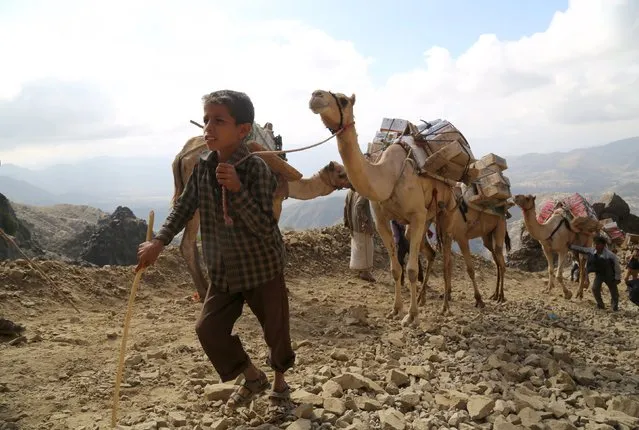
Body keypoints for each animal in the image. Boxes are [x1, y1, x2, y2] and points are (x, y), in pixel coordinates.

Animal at [171, 133, 350, 300]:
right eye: (341, 173)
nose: (351, 183)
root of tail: (181, 157)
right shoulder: (274, 201)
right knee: (187, 243)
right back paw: (203, 291)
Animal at [310, 89, 460, 322]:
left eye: (343, 100)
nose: (316, 95)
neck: (388, 176)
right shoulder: (383, 220)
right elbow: (395, 269)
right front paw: (396, 310)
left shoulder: (416, 215)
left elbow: (411, 270)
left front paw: (411, 317)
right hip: (426, 218)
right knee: (430, 253)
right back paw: (423, 299)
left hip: (446, 212)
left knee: (446, 259)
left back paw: (444, 307)